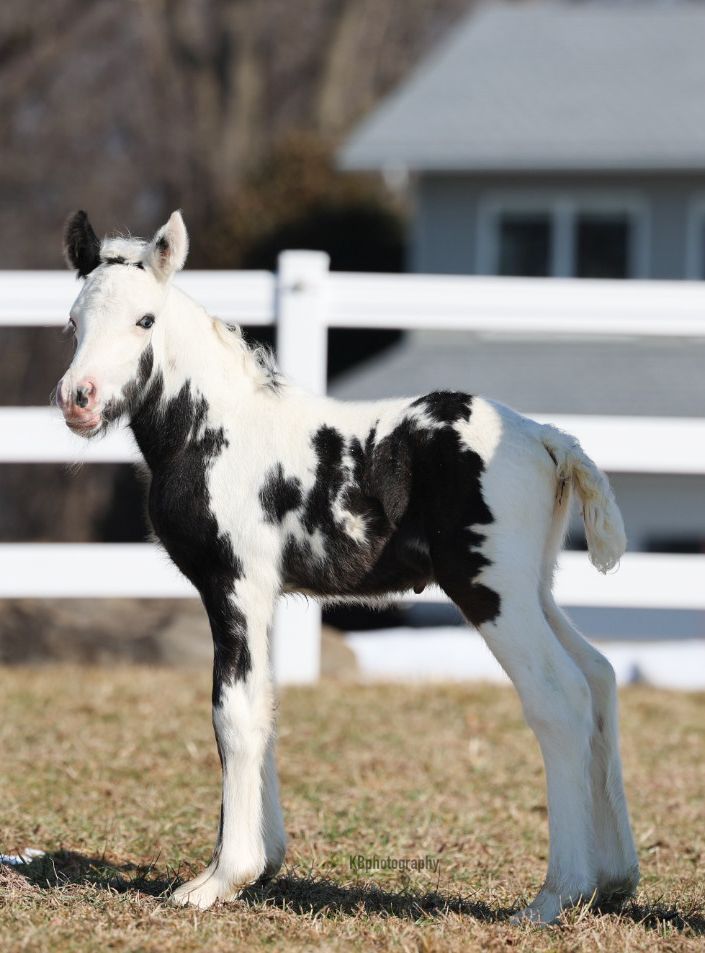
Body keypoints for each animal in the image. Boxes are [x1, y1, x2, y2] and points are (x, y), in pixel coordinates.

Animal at [55, 209, 639, 922]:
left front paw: (219, 879)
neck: (217, 430)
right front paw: (263, 865)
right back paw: (615, 878)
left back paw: (557, 894)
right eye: (73, 322)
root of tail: (547, 439)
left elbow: (233, 714)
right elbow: (265, 707)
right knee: (601, 677)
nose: (78, 399)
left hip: (491, 590)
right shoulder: (265, 596)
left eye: (145, 320)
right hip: (536, 591)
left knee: (560, 696)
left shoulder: (235, 585)